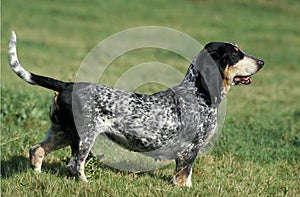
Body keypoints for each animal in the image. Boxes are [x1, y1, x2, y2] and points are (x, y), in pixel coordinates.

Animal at [8, 30, 264, 186]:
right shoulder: (189, 151)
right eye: (235, 52)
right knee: (74, 165)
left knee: (37, 150)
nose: (262, 62)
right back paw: (86, 184)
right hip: (84, 138)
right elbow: (183, 176)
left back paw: (37, 174)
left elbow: (188, 176)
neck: (198, 92)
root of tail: (66, 85)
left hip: (61, 132)